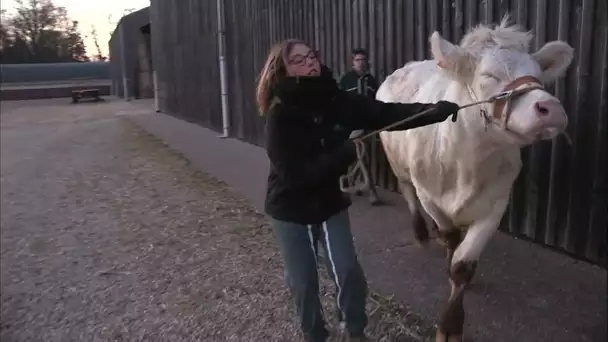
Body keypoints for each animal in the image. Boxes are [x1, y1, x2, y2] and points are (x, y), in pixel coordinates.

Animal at [378, 16, 572, 342]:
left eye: (538, 75)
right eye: (489, 75)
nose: (552, 109)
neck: (467, 165)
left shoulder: (497, 203)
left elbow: (463, 264)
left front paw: (453, 318)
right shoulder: (430, 196)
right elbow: (449, 238)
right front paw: (449, 325)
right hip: (398, 163)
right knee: (406, 192)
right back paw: (421, 233)